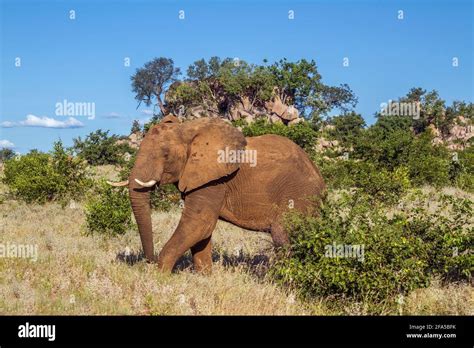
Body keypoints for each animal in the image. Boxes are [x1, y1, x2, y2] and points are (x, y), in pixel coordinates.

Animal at [107, 115, 326, 274]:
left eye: (166, 155)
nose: (149, 261)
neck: (187, 129)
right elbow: (202, 230)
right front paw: (204, 277)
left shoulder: (215, 179)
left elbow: (199, 222)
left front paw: (160, 278)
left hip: (300, 195)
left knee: (282, 235)